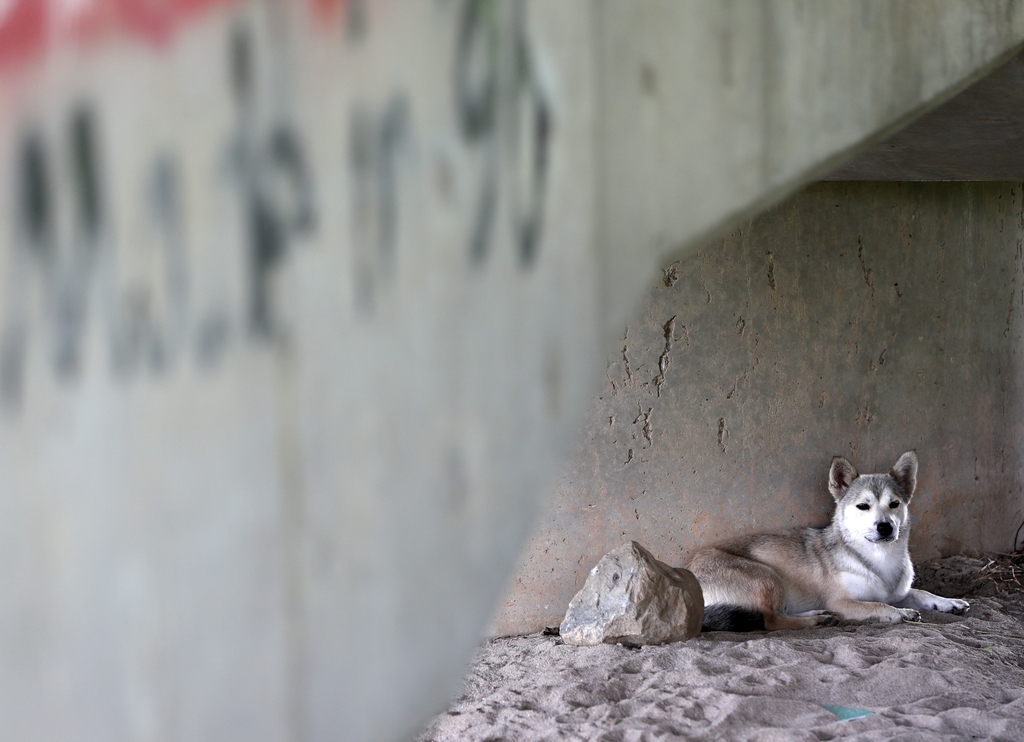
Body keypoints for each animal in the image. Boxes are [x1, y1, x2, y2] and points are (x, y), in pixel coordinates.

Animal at [688, 448, 966, 626]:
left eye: (894, 504)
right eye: (863, 506)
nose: (885, 527)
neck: (879, 559)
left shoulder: (897, 592)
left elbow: (921, 593)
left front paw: (948, 602)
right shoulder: (843, 602)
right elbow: (877, 605)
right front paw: (901, 613)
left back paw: (818, 614)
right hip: (768, 578)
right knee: (772, 621)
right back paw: (816, 620)